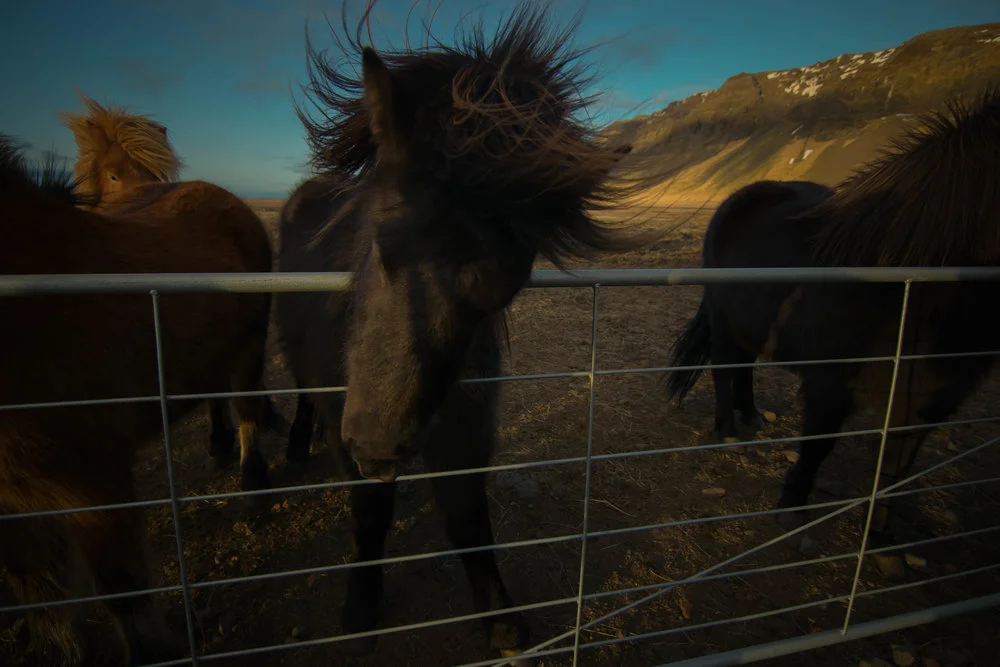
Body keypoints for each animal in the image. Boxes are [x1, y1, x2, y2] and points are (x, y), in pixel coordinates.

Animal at [0, 134, 272, 664]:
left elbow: (122, 588)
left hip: (249, 347)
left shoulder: (90, 478)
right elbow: (36, 586)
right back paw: (218, 446)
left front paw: (154, 653)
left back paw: (252, 482)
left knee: (247, 408)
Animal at [274, 2, 647, 662]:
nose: (376, 442)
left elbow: (469, 516)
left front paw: (502, 622)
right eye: (378, 237)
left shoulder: (468, 426)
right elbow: (370, 515)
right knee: (302, 399)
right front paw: (360, 612)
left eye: (500, 281)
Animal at [666, 88, 1000, 580]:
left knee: (745, 368)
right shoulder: (832, 383)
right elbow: (819, 445)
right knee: (726, 369)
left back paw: (750, 416)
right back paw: (727, 429)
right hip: (726, 322)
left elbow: (896, 470)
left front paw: (880, 541)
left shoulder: (928, 399)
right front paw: (791, 509)